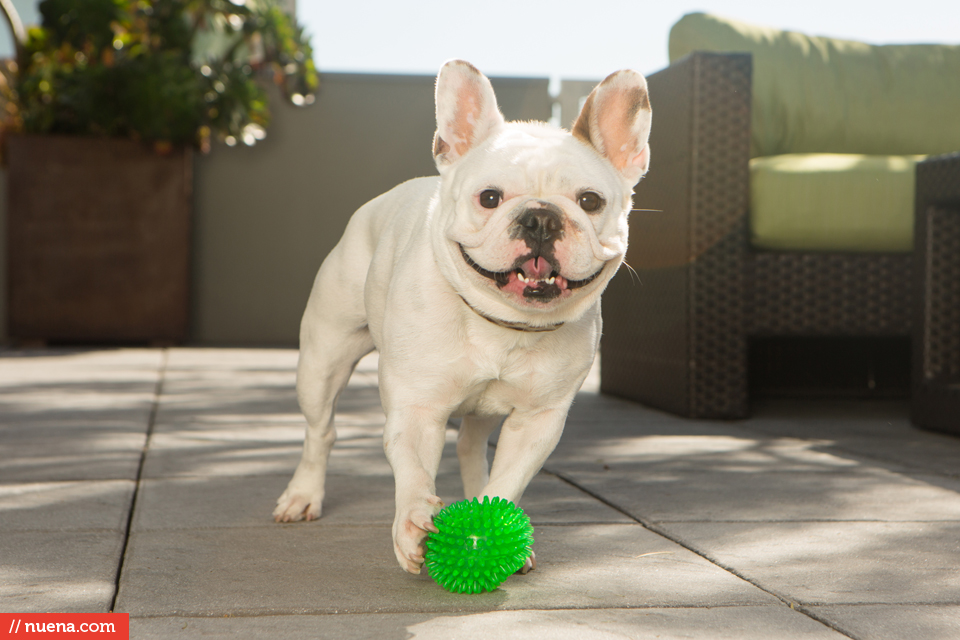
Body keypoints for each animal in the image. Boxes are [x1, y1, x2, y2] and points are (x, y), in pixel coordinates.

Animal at [276, 60, 652, 576]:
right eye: (489, 198)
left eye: (590, 202)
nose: (540, 218)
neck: (503, 325)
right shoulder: (416, 406)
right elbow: (414, 469)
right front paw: (414, 524)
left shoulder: (537, 421)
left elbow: (509, 479)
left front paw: (493, 531)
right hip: (322, 360)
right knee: (320, 431)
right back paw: (303, 496)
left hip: (483, 409)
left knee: (471, 447)